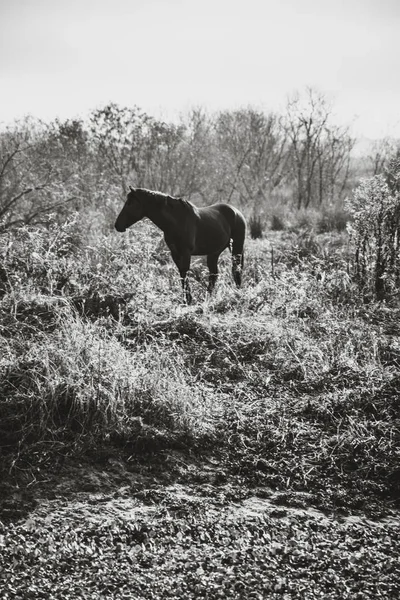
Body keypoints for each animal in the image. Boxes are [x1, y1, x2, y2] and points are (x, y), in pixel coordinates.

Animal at [114, 186, 245, 304]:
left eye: (130, 203)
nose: (117, 225)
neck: (177, 220)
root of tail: (236, 212)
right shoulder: (175, 253)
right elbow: (181, 274)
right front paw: (185, 299)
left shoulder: (185, 253)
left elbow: (184, 272)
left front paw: (188, 299)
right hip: (214, 253)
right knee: (214, 274)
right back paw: (208, 297)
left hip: (236, 248)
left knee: (236, 269)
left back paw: (237, 293)